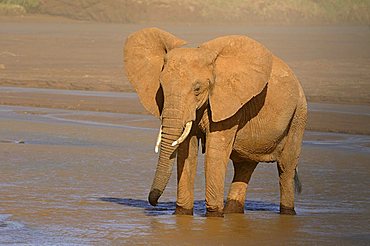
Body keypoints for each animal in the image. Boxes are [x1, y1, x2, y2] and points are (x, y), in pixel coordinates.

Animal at [123, 27, 308, 217]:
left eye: (197, 89)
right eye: (161, 87)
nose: (154, 202)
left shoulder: (228, 104)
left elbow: (214, 154)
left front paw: (213, 217)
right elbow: (186, 151)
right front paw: (182, 214)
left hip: (298, 115)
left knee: (286, 168)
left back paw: (287, 212)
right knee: (244, 167)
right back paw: (233, 212)